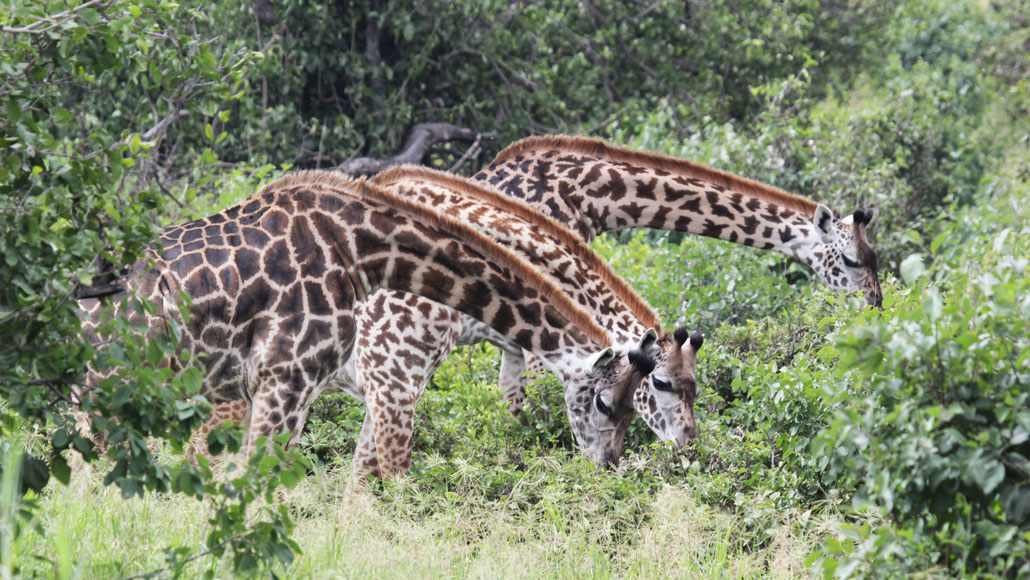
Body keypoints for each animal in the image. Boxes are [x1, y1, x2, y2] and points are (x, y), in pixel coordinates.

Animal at [77, 171, 654, 463]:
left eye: (636, 409)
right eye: (605, 403)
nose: (609, 465)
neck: (361, 249)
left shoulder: (319, 388)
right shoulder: (291, 379)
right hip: (114, 390)